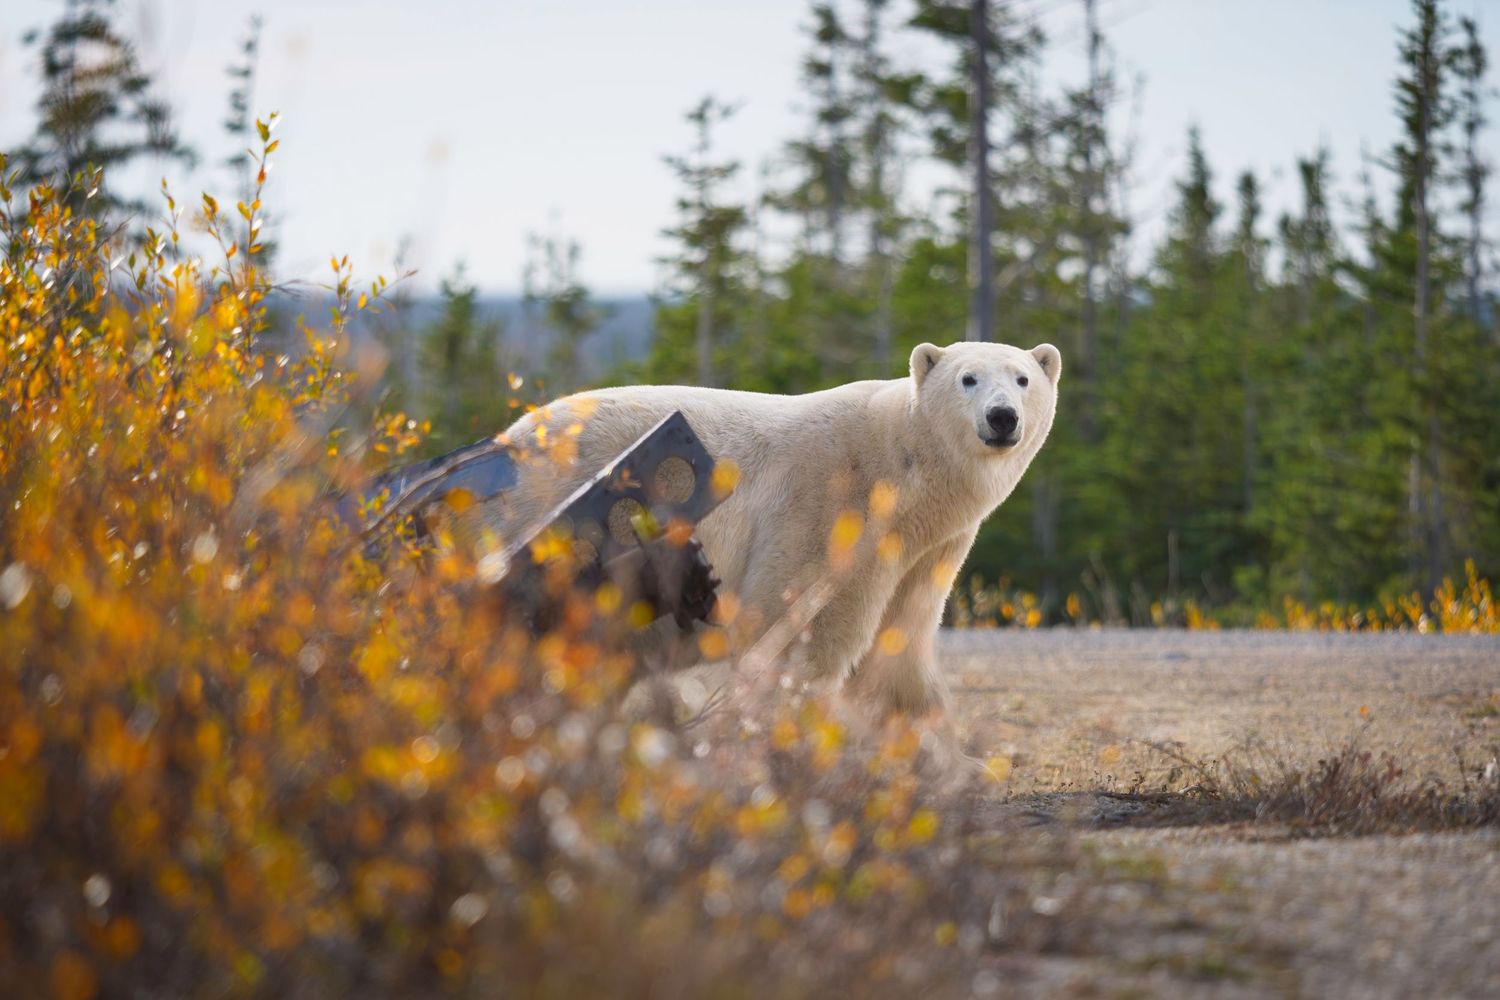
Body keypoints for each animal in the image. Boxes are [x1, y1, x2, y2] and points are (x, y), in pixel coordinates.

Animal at [482, 340, 1061, 716]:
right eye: (968, 378)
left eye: (1023, 379)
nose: (1003, 417)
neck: (903, 469)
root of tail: (506, 441)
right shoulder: (831, 508)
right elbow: (801, 631)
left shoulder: (930, 550)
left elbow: (903, 645)